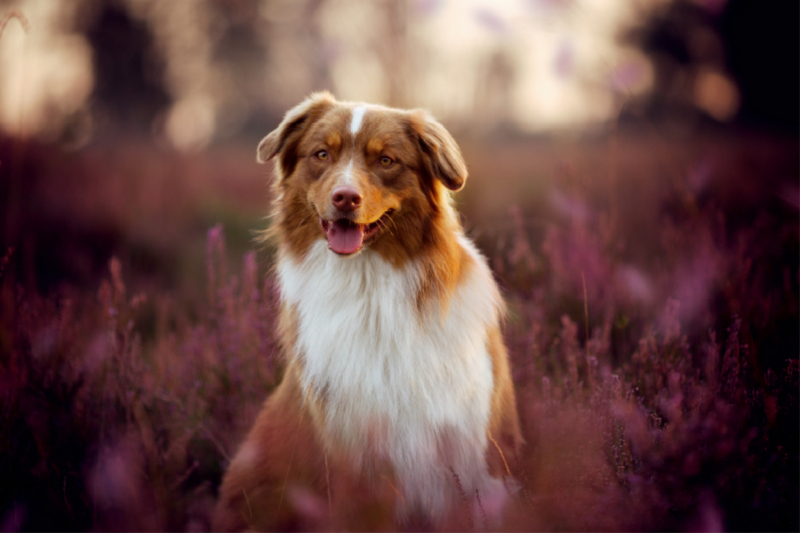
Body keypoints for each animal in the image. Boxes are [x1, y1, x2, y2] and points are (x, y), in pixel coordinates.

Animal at [216, 93, 520, 528]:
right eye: (321, 154)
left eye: (386, 160)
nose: (345, 197)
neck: (370, 288)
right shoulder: (355, 458)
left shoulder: (474, 451)